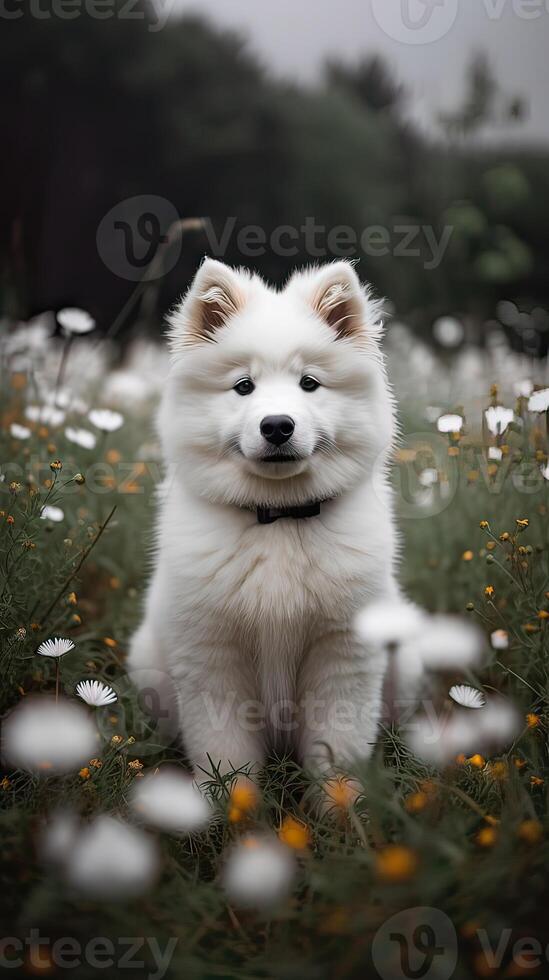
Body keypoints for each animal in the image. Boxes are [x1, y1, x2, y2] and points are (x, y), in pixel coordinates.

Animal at [131, 258, 400, 780]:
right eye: (243, 386)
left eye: (309, 383)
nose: (277, 425)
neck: (279, 520)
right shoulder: (213, 658)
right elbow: (227, 759)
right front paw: (226, 802)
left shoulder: (343, 655)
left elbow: (337, 756)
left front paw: (344, 802)